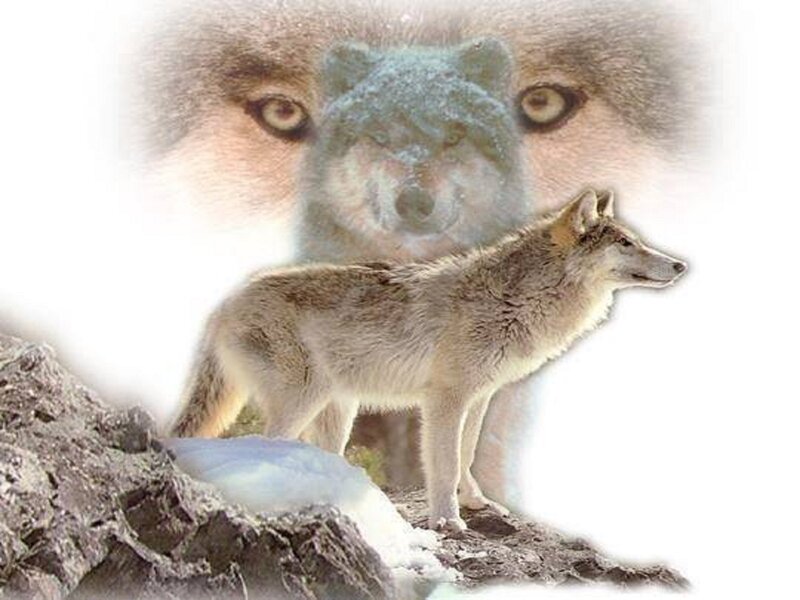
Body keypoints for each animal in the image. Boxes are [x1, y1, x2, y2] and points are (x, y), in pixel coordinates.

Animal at [170, 188, 687, 530]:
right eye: (625, 243)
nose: (680, 264)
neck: (516, 299)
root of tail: (222, 304)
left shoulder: (479, 397)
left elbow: (467, 455)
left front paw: (477, 504)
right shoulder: (444, 400)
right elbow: (443, 464)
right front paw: (447, 521)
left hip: (338, 410)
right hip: (304, 399)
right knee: (264, 445)